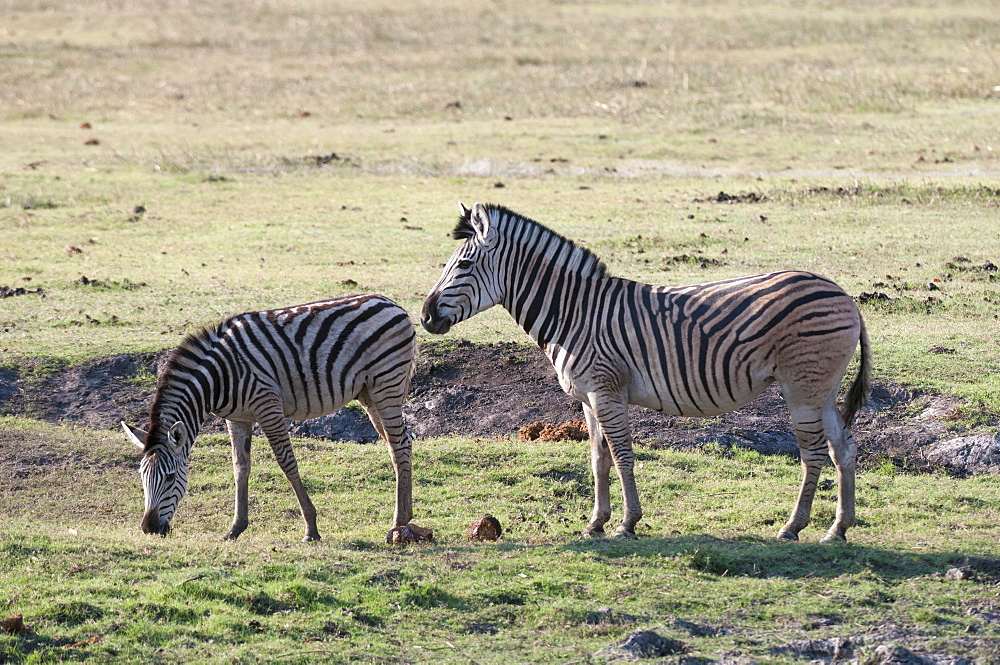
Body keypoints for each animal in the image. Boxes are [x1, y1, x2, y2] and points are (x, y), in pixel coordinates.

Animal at [122, 294, 418, 544]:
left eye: (171, 477)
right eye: (142, 477)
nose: (149, 528)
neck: (218, 379)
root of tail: (391, 303)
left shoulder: (268, 407)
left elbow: (287, 463)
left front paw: (311, 529)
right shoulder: (237, 419)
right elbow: (240, 468)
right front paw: (235, 529)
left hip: (386, 385)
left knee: (400, 444)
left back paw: (397, 523)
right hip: (369, 393)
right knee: (398, 445)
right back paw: (406, 518)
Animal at [420, 205, 868, 544]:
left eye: (463, 264)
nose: (424, 317)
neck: (573, 312)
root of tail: (844, 294)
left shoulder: (607, 392)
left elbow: (622, 457)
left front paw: (626, 523)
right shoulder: (589, 399)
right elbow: (597, 460)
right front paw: (595, 523)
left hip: (802, 387)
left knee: (813, 454)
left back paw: (793, 528)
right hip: (823, 390)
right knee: (843, 449)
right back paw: (838, 529)